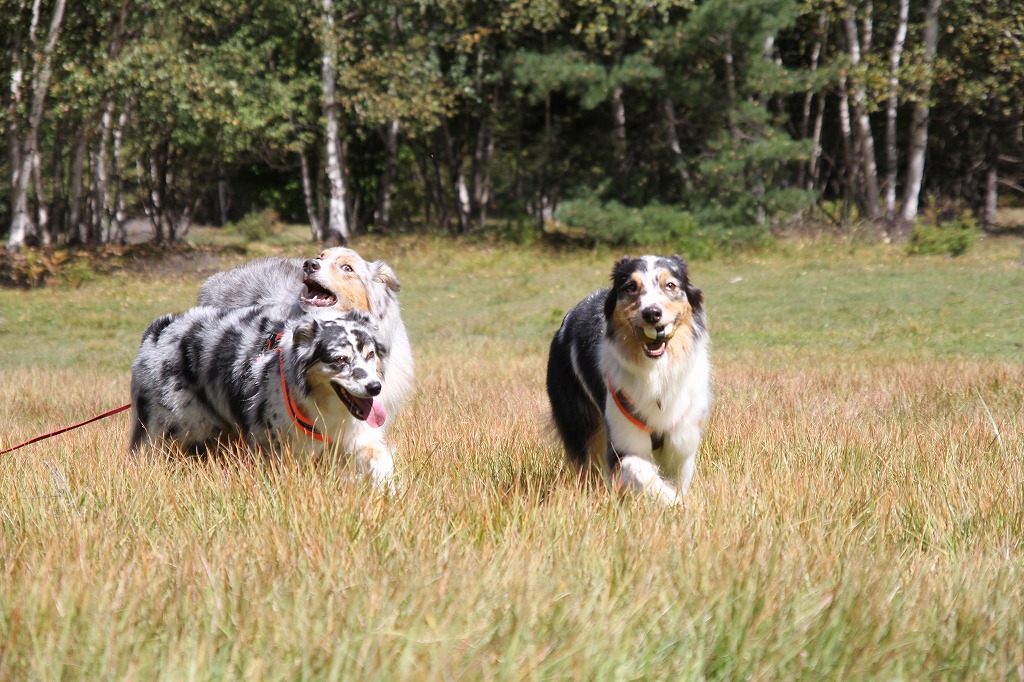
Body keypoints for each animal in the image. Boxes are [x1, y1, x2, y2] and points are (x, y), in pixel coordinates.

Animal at [130, 305, 393, 485]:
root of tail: (159, 330)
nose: (375, 387)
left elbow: (381, 460)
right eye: (340, 359)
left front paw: (386, 491)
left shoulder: (355, 439)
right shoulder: (278, 448)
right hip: (176, 432)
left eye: (370, 354)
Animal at [548, 251, 708, 501]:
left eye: (670, 285)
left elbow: (676, 479)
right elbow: (643, 474)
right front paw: (675, 503)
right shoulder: (623, 443)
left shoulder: (682, 443)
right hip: (580, 423)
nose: (652, 313)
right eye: (631, 287)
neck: (656, 370)